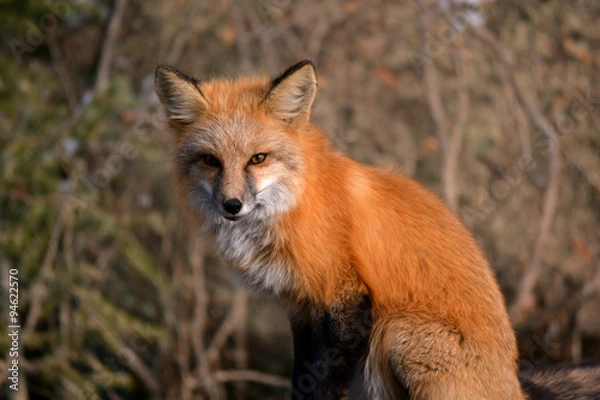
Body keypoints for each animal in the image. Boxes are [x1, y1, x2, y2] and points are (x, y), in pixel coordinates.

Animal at [152, 61, 592, 398]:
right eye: (210, 161)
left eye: (258, 159)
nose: (232, 205)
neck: (294, 204)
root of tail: (514, 385)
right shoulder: (301, 308)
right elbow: (301, 378)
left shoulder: (347, 298)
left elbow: (321, 385)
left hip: (398, 332)